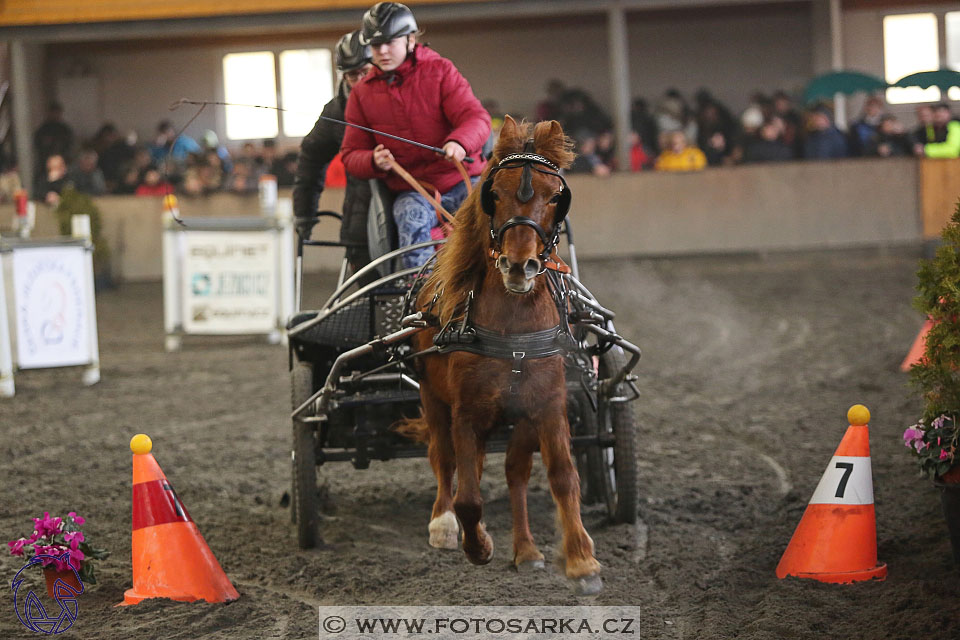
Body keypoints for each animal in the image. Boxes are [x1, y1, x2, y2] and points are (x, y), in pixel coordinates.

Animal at [398, 116, 600, 596]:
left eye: (555, 195)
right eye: (496, 192)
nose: (519, 265)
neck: (514, 330)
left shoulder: (546, 404)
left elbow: (563, 474)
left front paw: (581, 559)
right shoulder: (467, 410)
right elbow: (469, 496)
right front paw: (478, 545)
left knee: (514, 470)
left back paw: (526, 550)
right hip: (434, 397)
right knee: (444, 458)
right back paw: (444, 524)